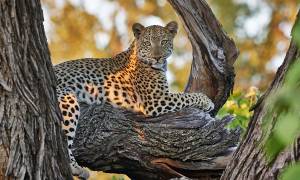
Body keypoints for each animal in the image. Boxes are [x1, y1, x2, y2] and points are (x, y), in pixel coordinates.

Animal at [53, 21, 213, 179]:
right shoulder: (157, 100)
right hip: (67, 98)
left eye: (164, 42)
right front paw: (207, 102)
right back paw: (76, 168)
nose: (157, 57)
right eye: (148, 43)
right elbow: (186, 96)